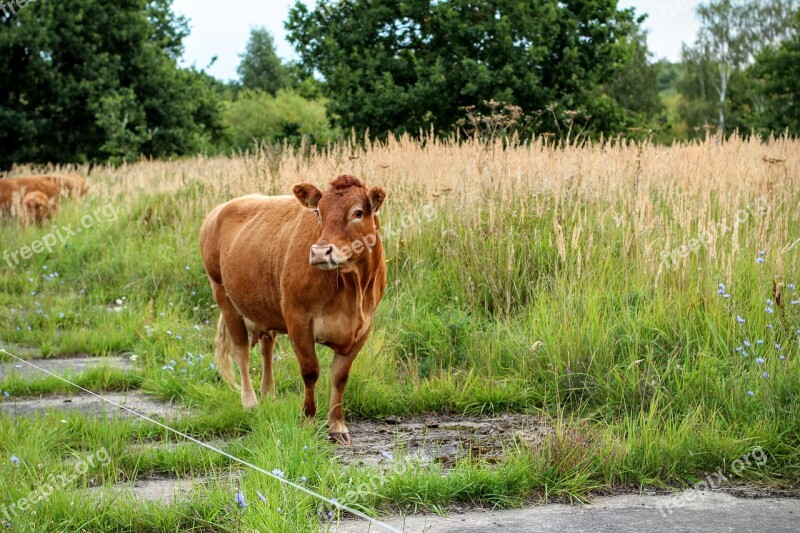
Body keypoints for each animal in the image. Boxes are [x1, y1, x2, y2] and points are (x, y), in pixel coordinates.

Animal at [200, 175, 388, 444]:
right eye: (319, 212)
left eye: (358, 212)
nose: (320, 252)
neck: (351, 288)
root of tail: (219, 210)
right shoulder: (298, 320)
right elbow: (310, 371)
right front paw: (308, 420)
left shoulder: (363, 327)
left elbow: (339, 377)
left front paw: (337, 426)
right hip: (223, 295)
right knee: (241, 351)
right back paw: (250, 402)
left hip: (264, 305)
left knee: (266, 347)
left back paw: (268, 394)